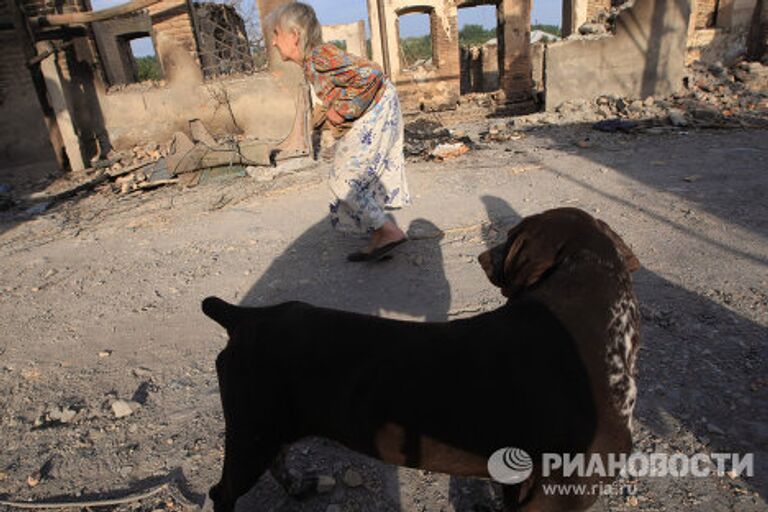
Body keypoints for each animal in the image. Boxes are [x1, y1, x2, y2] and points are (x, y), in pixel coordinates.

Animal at [204, 206, 640, 510]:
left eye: (514, 237)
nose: (483, 258)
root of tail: (247, 316)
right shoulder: (557, 495)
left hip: (268, 429)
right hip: (250, 433)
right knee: (221, 492)